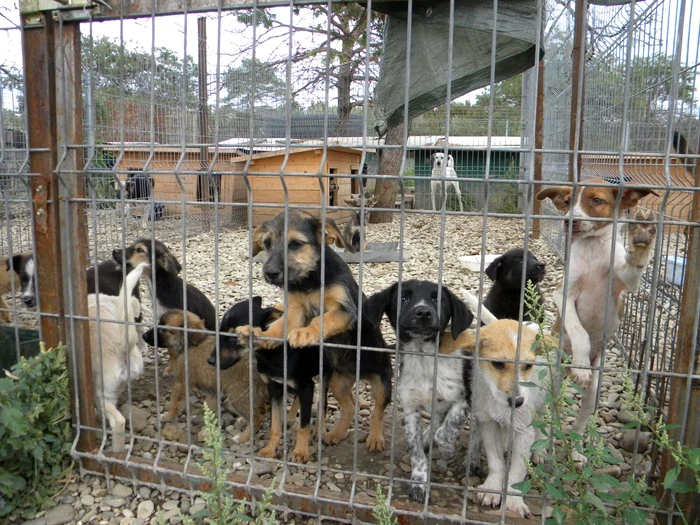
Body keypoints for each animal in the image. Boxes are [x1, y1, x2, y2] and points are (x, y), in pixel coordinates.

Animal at [366, 280, 476, 502]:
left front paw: (448, 451)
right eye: (403, 297)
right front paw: (419, 482)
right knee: (436, 421)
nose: (423, 312)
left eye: (438, 299)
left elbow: (447, 431)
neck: (423, 357)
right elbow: (415, 451)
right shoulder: (410, 409)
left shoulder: (463, 400)